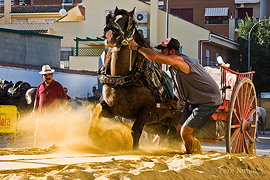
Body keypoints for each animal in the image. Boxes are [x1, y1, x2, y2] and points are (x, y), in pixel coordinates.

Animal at [94, 7, 182, 149]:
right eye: (110, 18)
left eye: (129, 23)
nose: (109, 36)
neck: (123, 80)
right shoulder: (112, 109)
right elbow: (97, 113)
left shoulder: (146, 110)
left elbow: (135, 131)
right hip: (156, 124)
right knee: (164, 134)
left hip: (175, 119)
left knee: (177, 136)